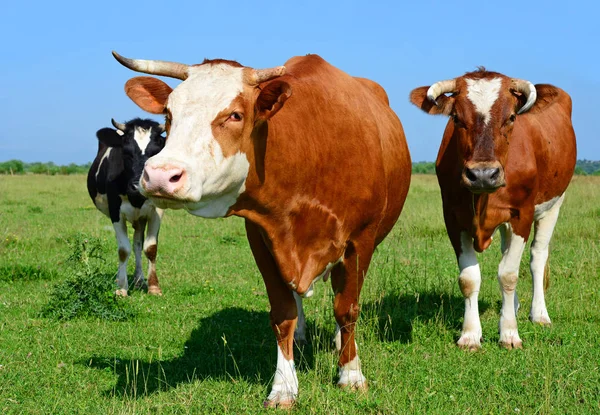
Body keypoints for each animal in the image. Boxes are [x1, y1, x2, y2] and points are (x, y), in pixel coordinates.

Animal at [88, 118, 166, 298]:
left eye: (156, 153)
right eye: (126, 152)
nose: (138, 186)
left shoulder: (157, 212)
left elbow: (150, 248)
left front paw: (154, 286)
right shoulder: (115, 212)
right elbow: (123, 250)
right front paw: (122, 287)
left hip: (140, 218)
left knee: (138, 243)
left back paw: (139, 280)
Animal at [111, 51, 412, 406]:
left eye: (235, 115)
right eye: (169, 115)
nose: (159, 175)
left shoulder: (360, 241)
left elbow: (347, 308)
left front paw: (350, 374)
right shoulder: (263, 238)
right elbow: (282, 314)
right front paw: (284, 386)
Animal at [410, 69, 576, 352]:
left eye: (511, 117)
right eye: (456, 118)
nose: (483, 174)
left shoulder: (522, 215)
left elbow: (508, 274)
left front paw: (509, 333)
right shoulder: (453, 218)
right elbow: (469, 278)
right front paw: (469, 335)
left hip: (554, 204)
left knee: (537, 256)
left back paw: (539, 314)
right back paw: (515, 306)